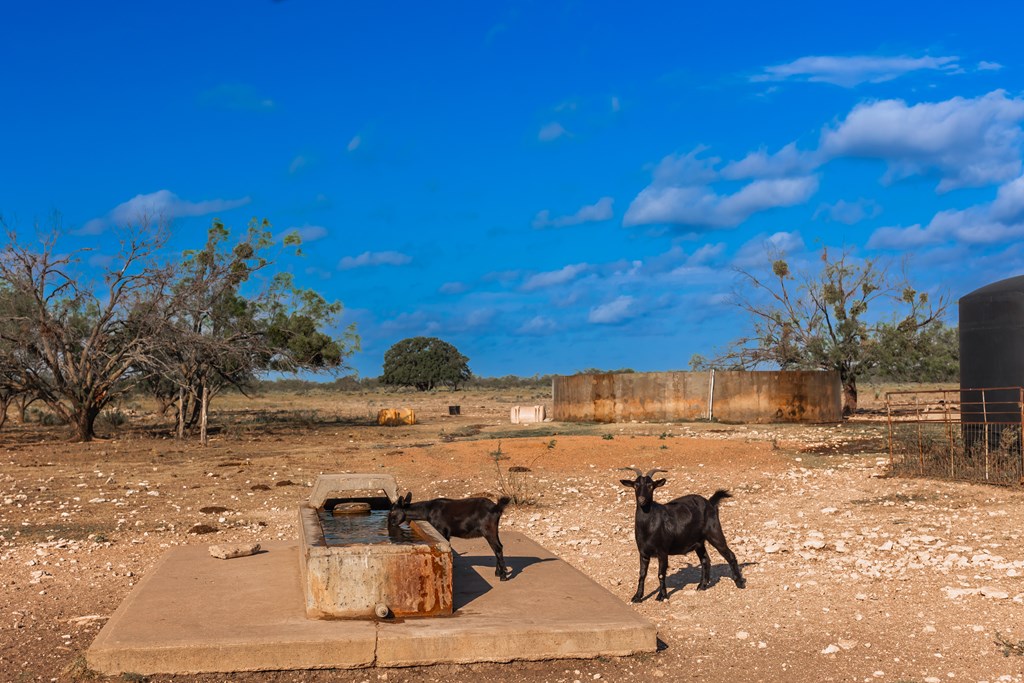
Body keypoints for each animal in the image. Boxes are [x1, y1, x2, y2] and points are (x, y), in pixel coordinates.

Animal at [614, 464, 745, 602]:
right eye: (636, 485)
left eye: (651, 486)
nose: (642, 499)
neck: (649, 525)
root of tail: (710, 502)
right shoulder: (643, 552)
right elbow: (642, 574)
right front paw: (637, 596)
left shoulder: (662, 551)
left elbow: (661, 574)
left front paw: (661, 596)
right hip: (699, 542)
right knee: (705, 560)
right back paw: (702, 586)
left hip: (714, 532)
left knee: (729, 554)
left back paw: (740, 583)